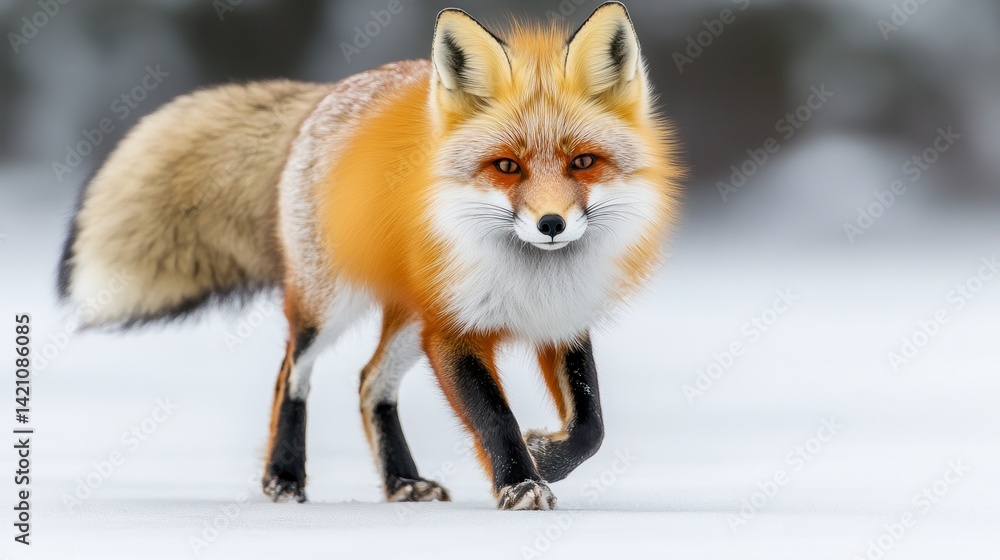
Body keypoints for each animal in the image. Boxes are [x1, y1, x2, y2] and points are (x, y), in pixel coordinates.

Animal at [57, 2, 681, 510]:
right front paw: (521, 483)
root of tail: (329, 94)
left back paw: (402, 483)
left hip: (406, 322)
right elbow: (495, 418)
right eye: (507, 167)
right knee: (292, 374)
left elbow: (591, 426)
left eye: (583, 162)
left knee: (367, 382)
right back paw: (284, 477)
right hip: (330, 305)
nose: (551, 224)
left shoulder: (562, 320)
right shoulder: (450, 329)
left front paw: (546, 457)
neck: (532, 276)